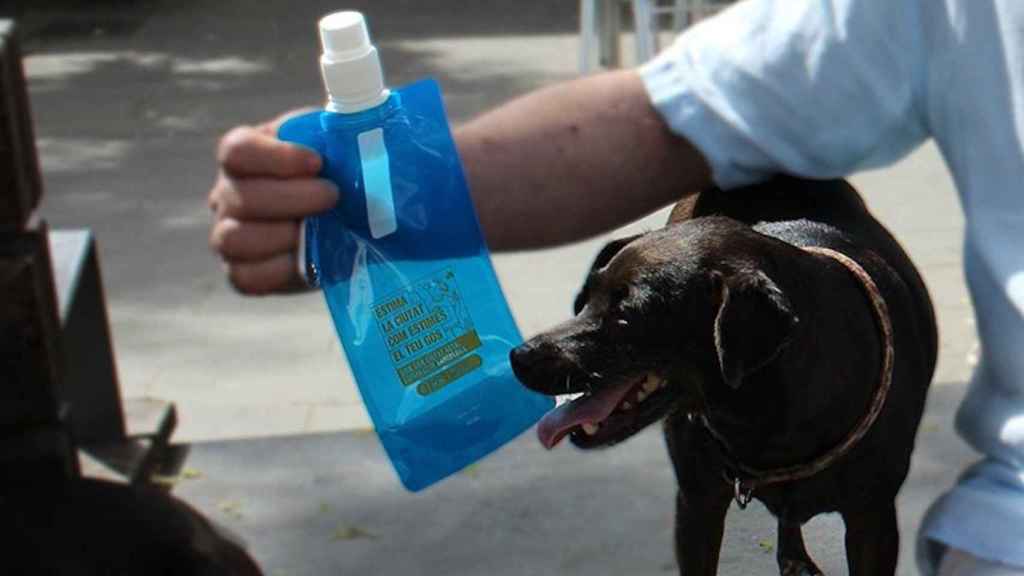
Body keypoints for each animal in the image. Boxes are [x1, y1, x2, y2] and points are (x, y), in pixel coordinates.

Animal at [512, 177, 937, 569]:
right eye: (584, 299)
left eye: (627, 316)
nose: (519, 357)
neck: (761, 417)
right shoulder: (696, 506)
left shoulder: (873, 520)